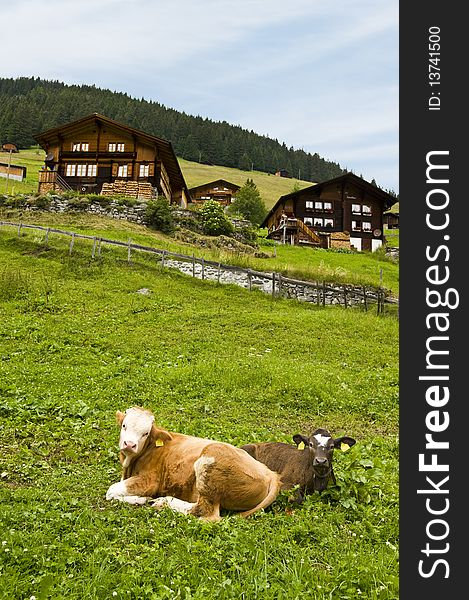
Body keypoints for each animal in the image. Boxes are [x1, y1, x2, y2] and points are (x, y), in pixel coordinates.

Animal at [105, 408, 280, 520]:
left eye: (145, 433)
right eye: (124, 426)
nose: (129, 444)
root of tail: (270, 474)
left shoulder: (150, 480)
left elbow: (111, 490)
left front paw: (141, 499)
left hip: (209, 465)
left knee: (207, 513)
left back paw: (164, 502)